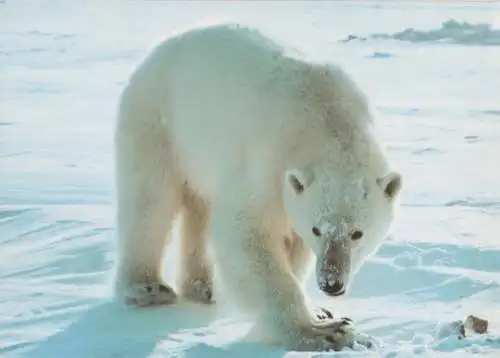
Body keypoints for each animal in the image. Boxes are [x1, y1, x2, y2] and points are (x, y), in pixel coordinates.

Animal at [113, 23, 402, 352]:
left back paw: (202, 288)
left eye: (357, 233)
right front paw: (324, 330)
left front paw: (320, 311)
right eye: (317, 229)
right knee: (149, 200)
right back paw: (146, 288)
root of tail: (155, 54)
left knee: (198, 208)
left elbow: (292, 245)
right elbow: (245, 234)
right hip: (158, 121)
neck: (327, 117)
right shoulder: (268, 164)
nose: (331, 284)